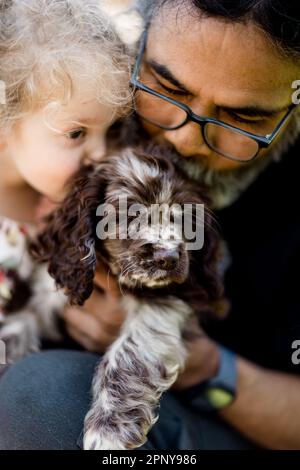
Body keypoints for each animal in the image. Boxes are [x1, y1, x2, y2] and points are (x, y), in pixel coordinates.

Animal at [29, 144, 227, 452]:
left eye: (186, 218)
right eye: (128, 215)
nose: (168, 258)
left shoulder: (164, 303)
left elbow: (129, 353)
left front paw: (109, 429)